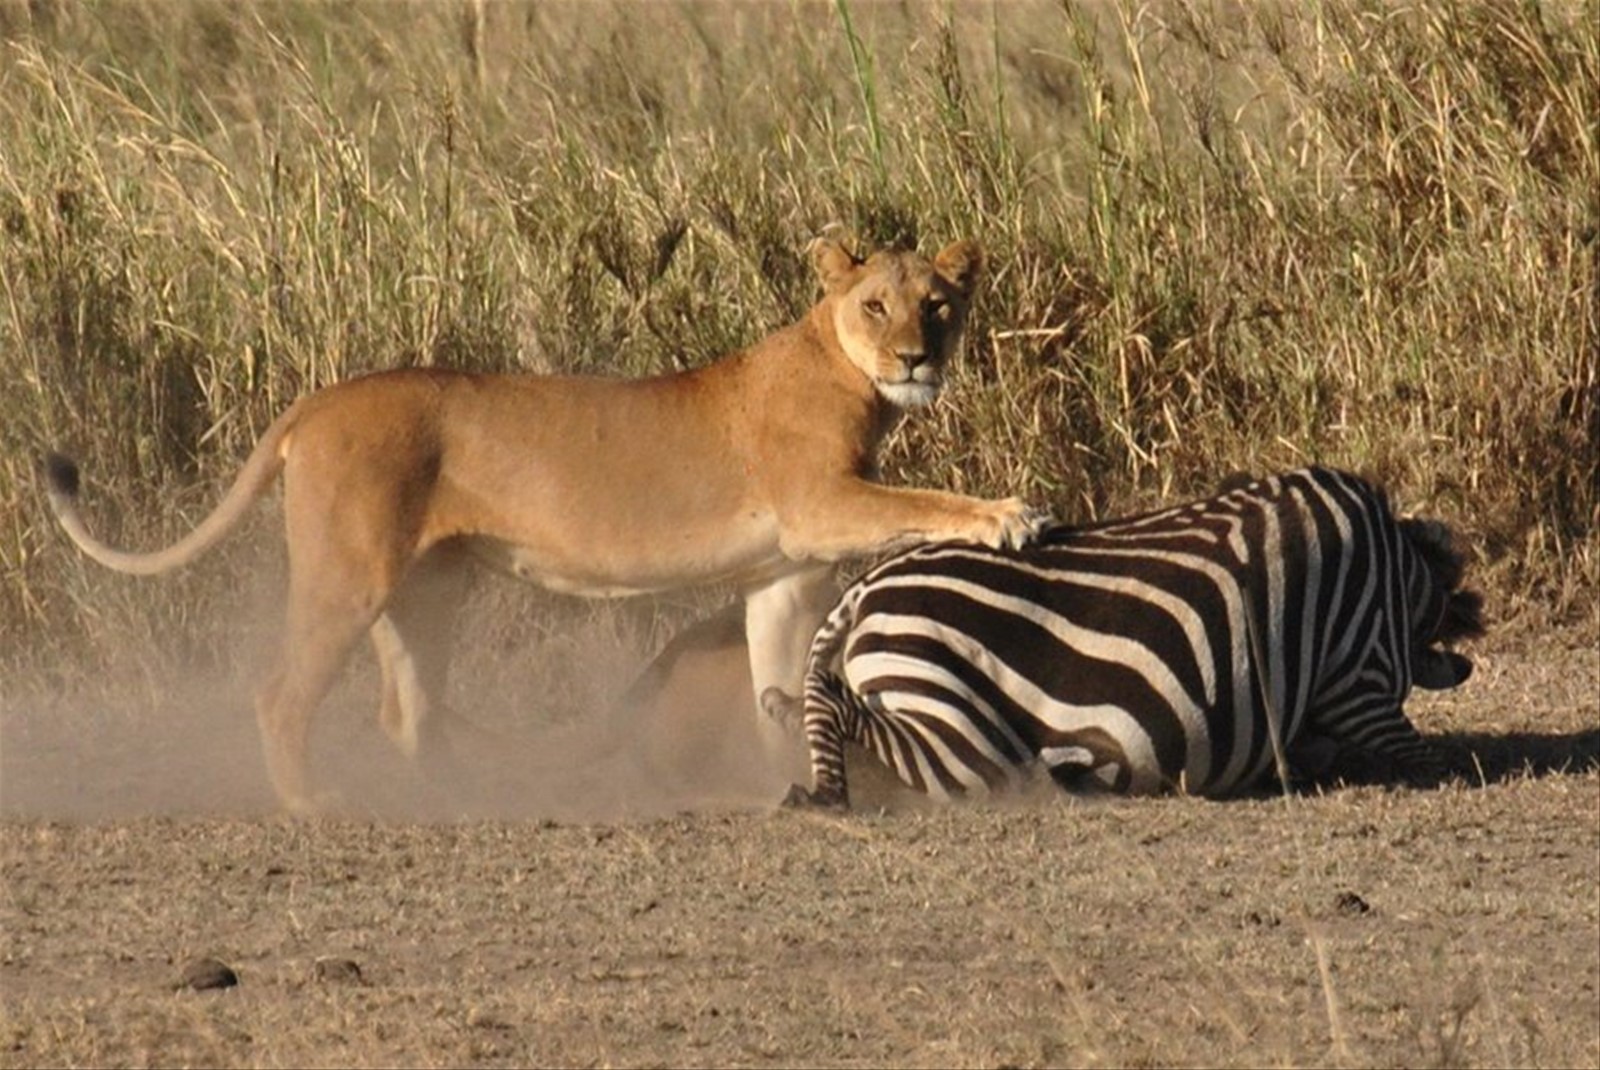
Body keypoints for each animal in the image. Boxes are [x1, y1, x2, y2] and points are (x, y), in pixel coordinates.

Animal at [43, 237, 1048, 813]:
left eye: (939, 304)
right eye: (876, 305)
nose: (917, 356)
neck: (844, 367)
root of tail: (317, 401)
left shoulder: (783, 574)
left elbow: (775, 683)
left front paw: (785, 783)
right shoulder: (821, 501)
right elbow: (930, 498)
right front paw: (1009, 515)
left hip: (427, 591)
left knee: (407, 709)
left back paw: (455, 800)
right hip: (349, 575)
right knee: (282, 694)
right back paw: (313, 804)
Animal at [763, 467, 1484, 809]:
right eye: (1449, 611)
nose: (1469, 655)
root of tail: (868, 585)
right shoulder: (1357, 676)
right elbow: (1429, 757)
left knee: (815, 704)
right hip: (965, 736)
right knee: (840, 704)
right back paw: (825, 793)